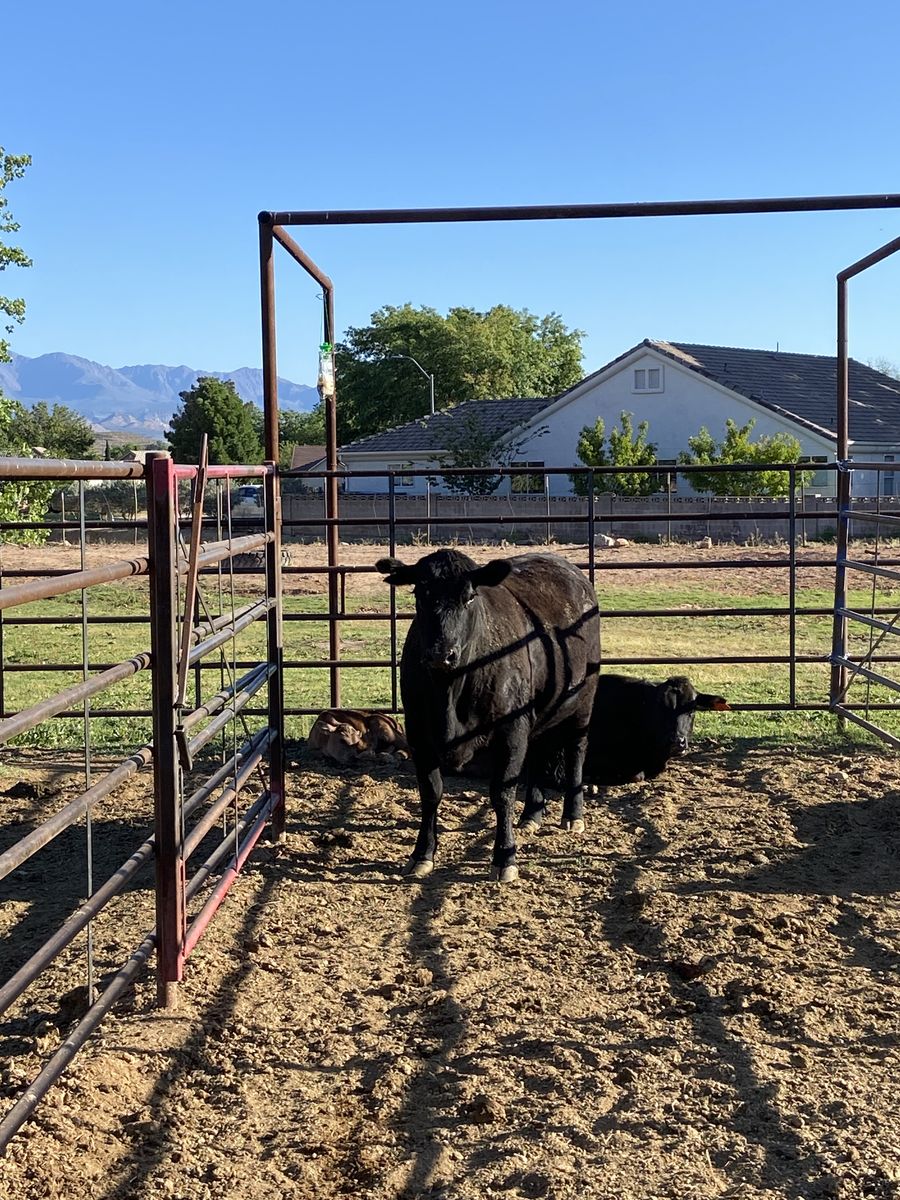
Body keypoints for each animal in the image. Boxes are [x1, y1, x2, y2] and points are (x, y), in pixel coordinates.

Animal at [376, 549, 600, 882]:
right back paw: (532, 814)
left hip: (584, 701)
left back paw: (573, 815)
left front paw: (505, 857)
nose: (441, 654)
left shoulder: (511, 730)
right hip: (536, 715)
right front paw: (421, 854)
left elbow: (502, 792)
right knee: (538, 752)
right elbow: (430, 792)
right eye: (419, 593)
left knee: (576, 750)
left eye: (470, 596)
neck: (450, 693)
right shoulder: (419, 733)